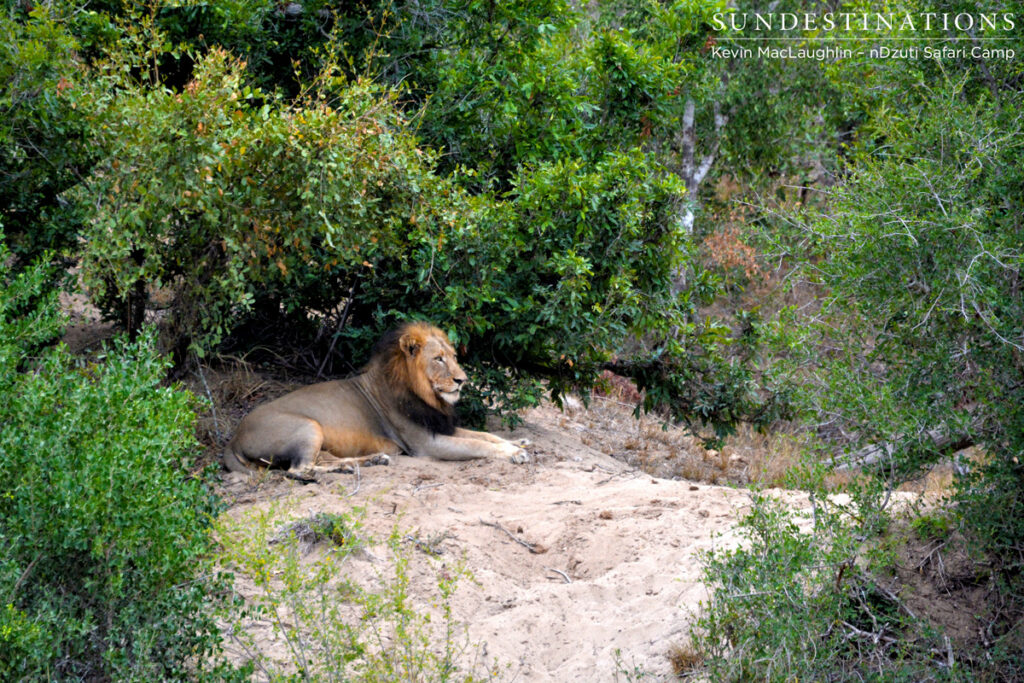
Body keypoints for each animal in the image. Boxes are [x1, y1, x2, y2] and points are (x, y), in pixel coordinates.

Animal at [223, 322, 530, 480]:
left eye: (454, 357)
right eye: (438, 359)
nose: (462, 380)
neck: (427, 396)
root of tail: (233, 437)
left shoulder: (440, 425)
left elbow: (485, 435)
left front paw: (518, 442)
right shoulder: (425, 443)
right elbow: (477, 445)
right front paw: (514, 453)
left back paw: (371, 460)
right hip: (308, 426)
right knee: (298, 470)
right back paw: (346, 468)